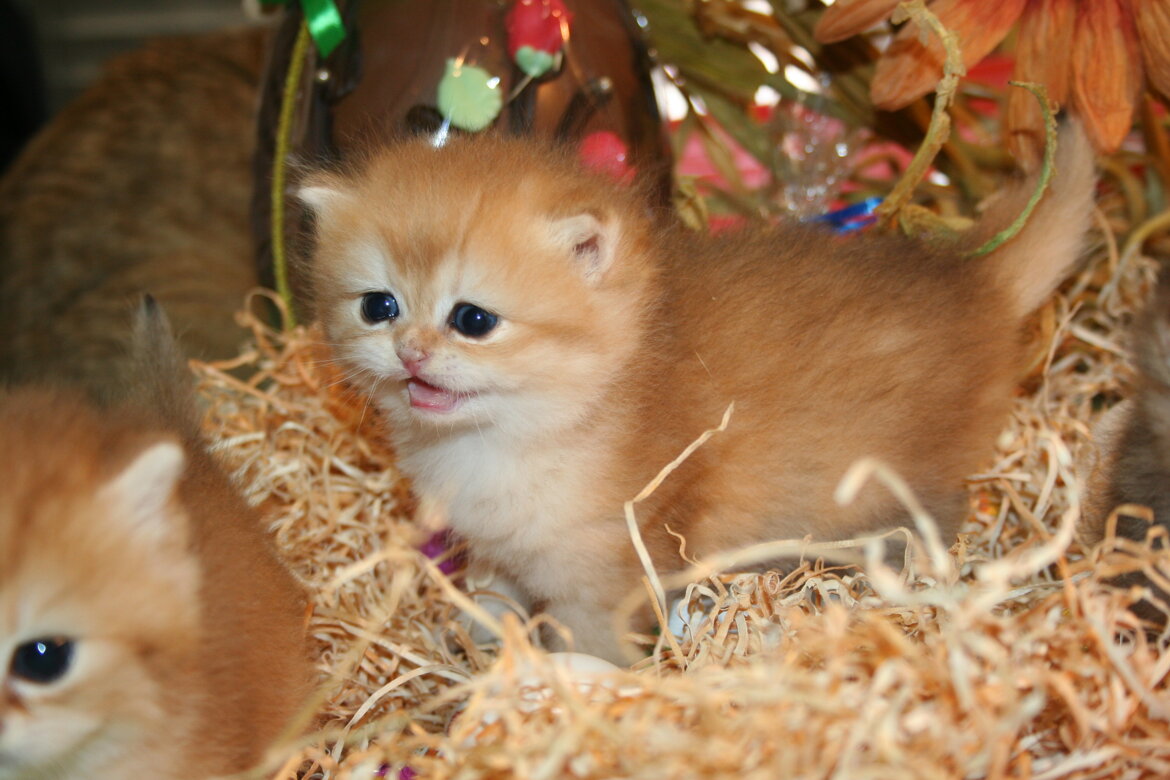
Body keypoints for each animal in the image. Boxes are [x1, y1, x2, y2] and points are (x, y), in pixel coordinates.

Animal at [299, 126, 1095, 663]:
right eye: (378, 307)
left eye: (472, 320)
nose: (410, 352)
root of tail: (972, 282)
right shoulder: (499, 546)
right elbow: (492, 598)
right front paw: (479, 644)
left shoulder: (604, 575)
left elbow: (587, 648)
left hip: (900, 496)